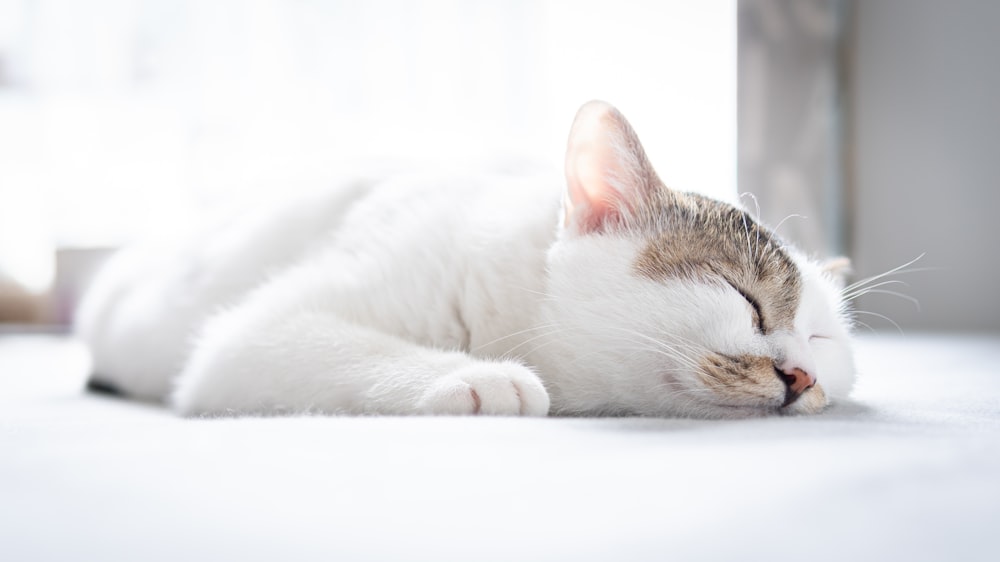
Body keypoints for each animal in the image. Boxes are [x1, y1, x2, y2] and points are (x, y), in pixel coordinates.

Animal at [76, 100, 860, 416]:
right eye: (744, 298)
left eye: (822, 339)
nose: (801, 375)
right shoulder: (246, 339)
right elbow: (320, 340)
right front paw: (480, 376)